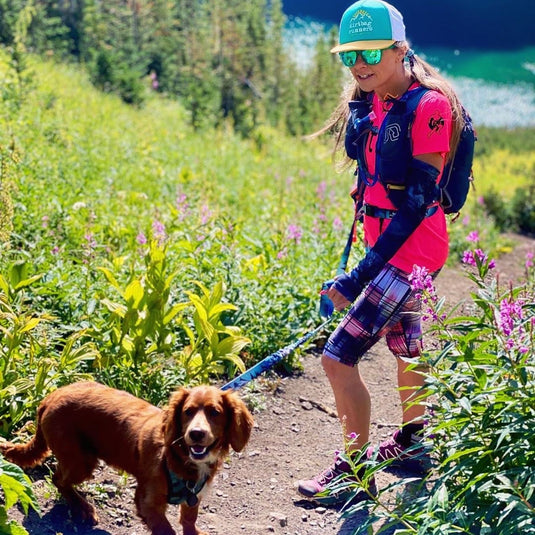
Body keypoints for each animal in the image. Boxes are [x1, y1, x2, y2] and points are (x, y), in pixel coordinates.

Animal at [0, 382, 254, 535]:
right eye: (188, 412)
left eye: (215, 412)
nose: (196, 434)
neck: (178, 456)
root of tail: (50, 397)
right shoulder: (147, 502)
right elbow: (167, 529)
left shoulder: (194, 496)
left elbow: (189, 519)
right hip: (81, 460)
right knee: (58, 479)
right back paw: (83, 507)